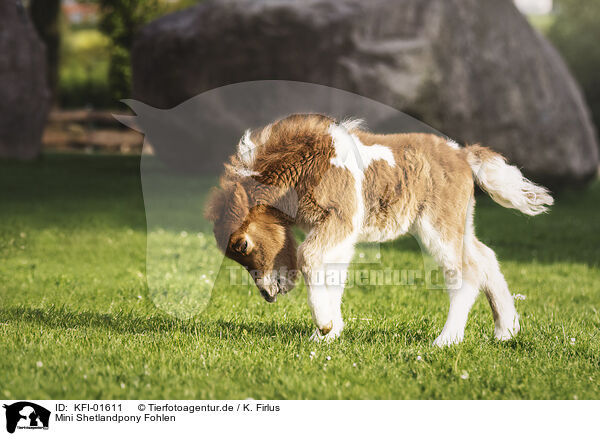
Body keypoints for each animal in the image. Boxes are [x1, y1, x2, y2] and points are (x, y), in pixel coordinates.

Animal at [206, 114, 552, 346]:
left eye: (242, 245)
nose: (267, 294)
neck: (306, 162)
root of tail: (462, 154)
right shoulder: (338, 232)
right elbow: (332, 273)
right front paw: (327, 334)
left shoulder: (340, 220)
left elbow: (308, 257)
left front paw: (325, 325)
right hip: (459, 222)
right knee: (486, 258)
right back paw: (506, 331)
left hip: (437, 226)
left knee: (466, 272)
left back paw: (446, 340)